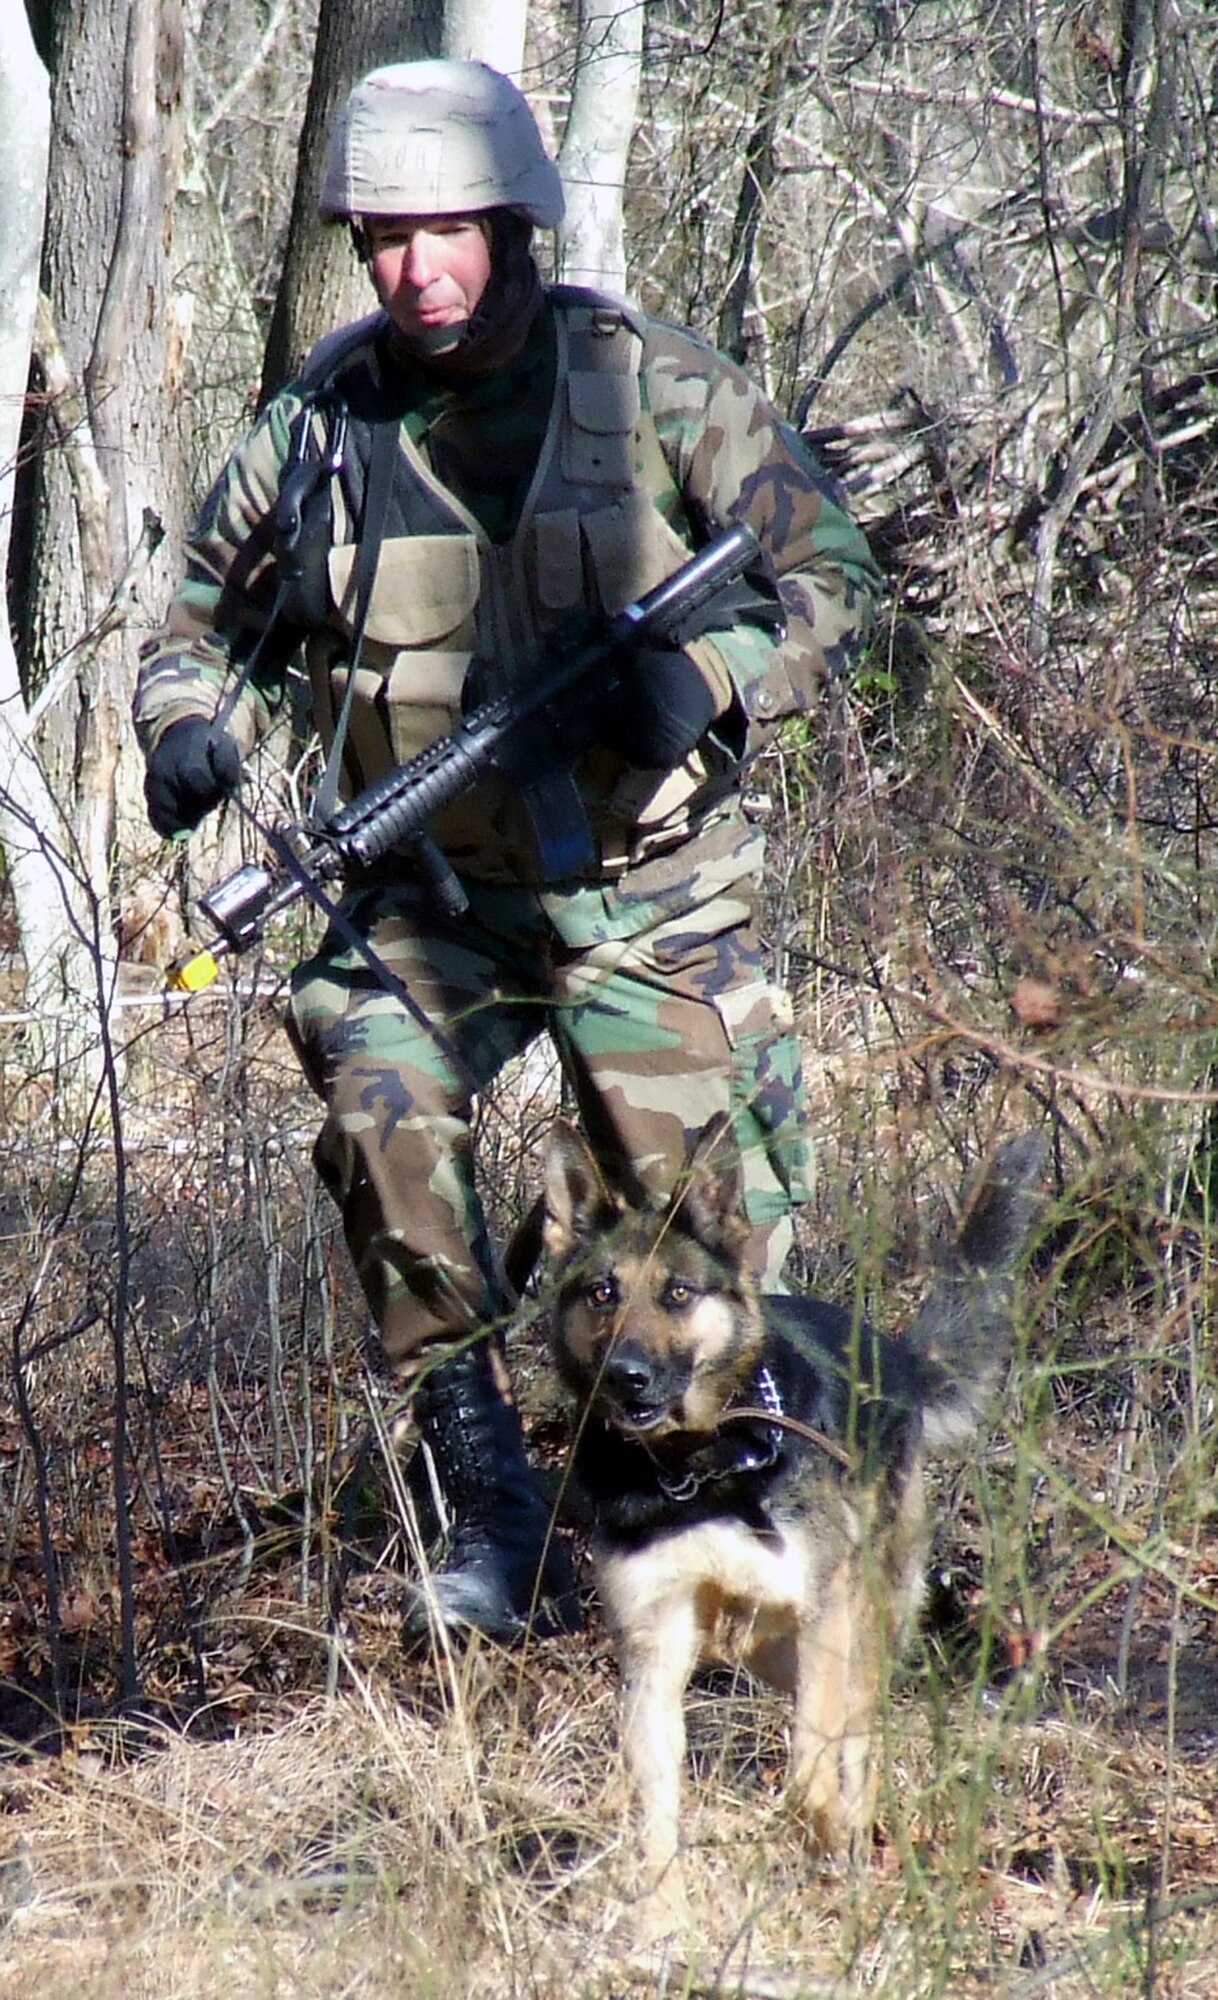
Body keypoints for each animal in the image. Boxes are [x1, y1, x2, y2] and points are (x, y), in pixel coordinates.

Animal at [544, 1112, 1048, 1936]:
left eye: (678, 1293)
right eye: (601, 1292)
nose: (628, 1377)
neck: (696, 1469)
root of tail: (894, 1352)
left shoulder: (824, 1609)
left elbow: (813, 1765)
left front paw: (824, 1834)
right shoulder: (655, 1645)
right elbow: (656, 1809)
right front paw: (661, 1920)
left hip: (859, 1620)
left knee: (858, 1735)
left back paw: (858, 1850)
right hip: (763, 1644)